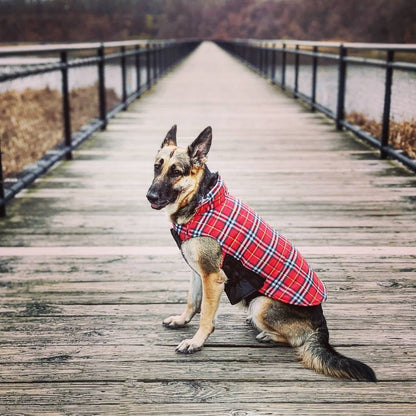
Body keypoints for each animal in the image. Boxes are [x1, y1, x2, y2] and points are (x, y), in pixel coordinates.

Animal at [146, 125, 376, 382]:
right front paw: (181, 321)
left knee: (296, 339)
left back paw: (268, 335)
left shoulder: (212, 278)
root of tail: (321, 323)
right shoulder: (199, 272)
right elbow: (193, 302)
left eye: (176, 172)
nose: (150, 196)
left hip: (259, 304)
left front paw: (196, 341)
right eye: (157, 167)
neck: (201, 201)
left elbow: (205, 314)